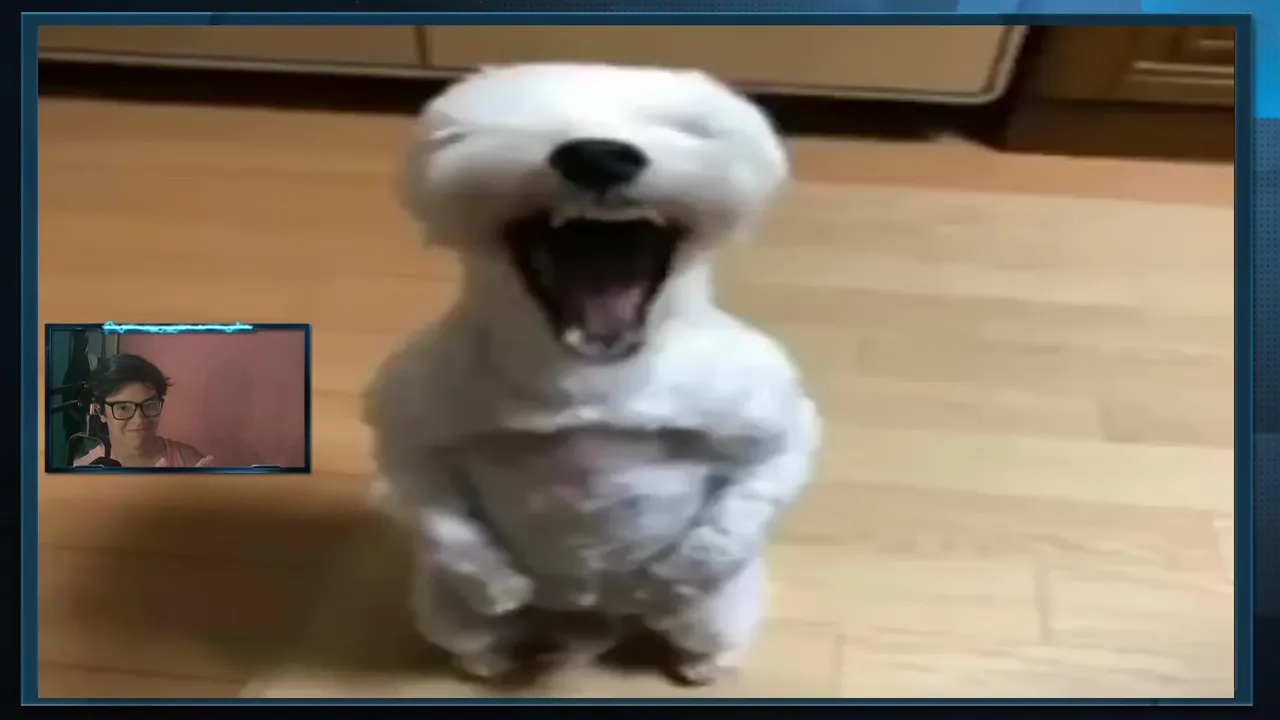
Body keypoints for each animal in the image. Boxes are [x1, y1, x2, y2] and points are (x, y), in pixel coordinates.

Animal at [364, 63, 821, 686]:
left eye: (688, 127)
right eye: (498, 125)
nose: (599, 156)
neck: (589, 381)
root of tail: (592, 615)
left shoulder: (775, 420)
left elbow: (751, 498)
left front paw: (678, 574)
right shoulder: (409, 425)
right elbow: (432, 509)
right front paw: (491, 578)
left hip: (715, 614)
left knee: (707, 627)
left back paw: (703, 662)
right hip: (445, 608)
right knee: (471, 629)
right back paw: (490, 656)